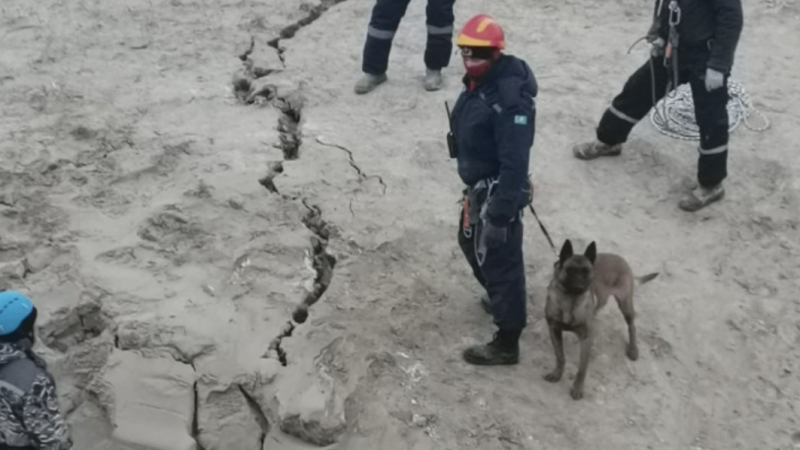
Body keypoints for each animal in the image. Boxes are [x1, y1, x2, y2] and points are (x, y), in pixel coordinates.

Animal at [544, 239, 656, 400]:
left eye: (586, 271)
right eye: (570, 270)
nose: (580, 287)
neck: (570, 301)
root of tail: (622, 260)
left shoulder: (587, 339)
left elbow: (582, 368)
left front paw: (578, 388)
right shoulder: (554, 330)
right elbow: (560, 356)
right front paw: (557, 374)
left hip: (625, 304)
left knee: (632, 325)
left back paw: (633, 349)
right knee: (601, 303)